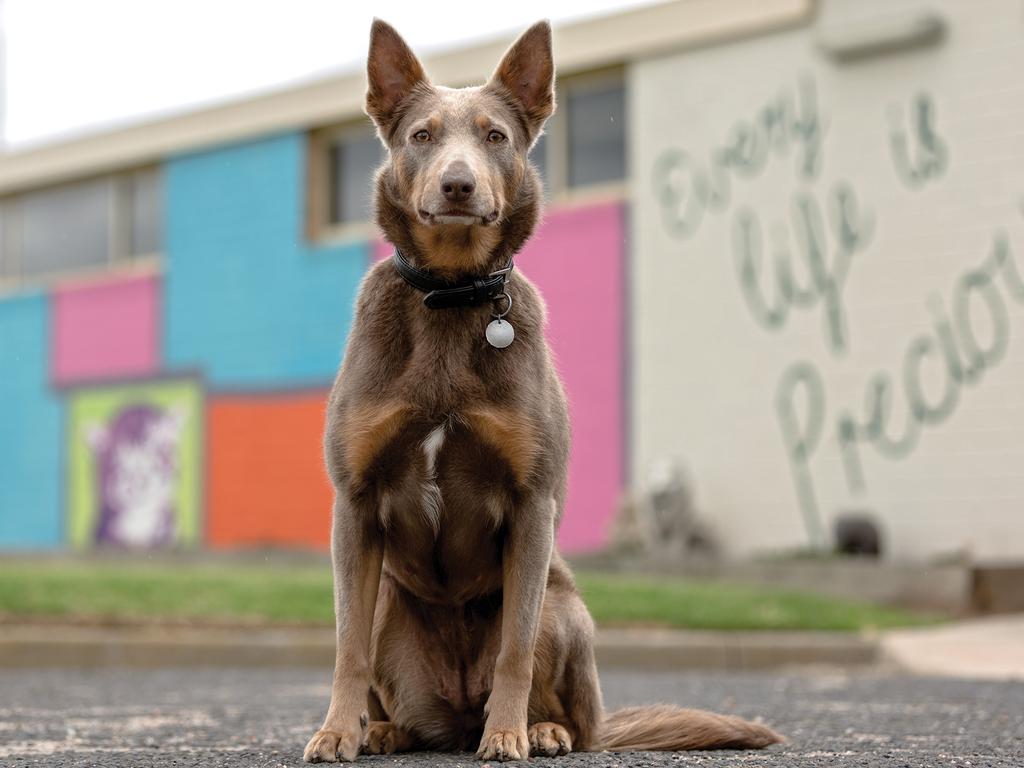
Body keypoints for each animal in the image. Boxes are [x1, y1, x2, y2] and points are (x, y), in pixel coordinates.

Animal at [303, 18, 782, 765]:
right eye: (422, 136)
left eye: (495, 136)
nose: (459, 185)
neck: (451, 297)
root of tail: (454, 712)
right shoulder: (353, 507)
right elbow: (346, 644)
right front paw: (335, 732)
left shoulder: (531, 507)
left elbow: (516, 647)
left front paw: (507, 735)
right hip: (388, 601)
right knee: (395, 688)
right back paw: (383, 730)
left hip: (567, 607)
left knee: (571, 711)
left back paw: (541, 730)